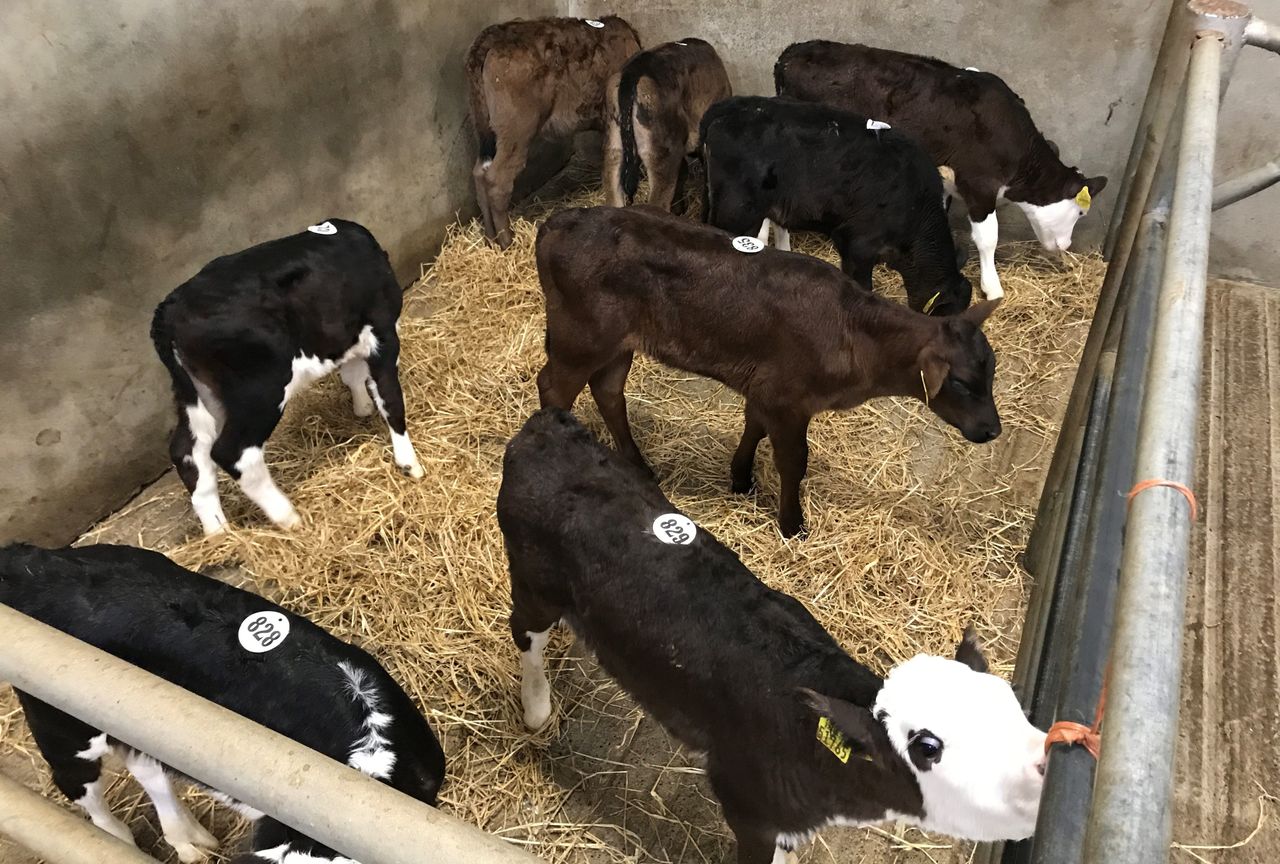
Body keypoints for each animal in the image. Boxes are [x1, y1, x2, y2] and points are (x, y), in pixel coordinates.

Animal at [151, 218, 423, 538]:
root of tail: (169, 308)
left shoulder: (346, 335)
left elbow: (353, 373)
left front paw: (362, 408)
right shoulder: (383, 332)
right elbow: (390, 398)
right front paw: (409, 463)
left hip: (196, 394)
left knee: (188, 451)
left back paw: (219, 531)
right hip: (260, 388)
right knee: (233, 453)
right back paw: (288, 516)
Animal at [466, 15, 642, 248]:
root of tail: (492, 37)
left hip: (486, 130)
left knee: (479, 173)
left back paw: (490, 238)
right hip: (516, 132)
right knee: (497, 180)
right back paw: (507, 241)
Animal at [497, 408, 1046, 864]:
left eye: (1010, 706)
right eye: (927, 748)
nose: (1047, 766)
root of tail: (546, 426)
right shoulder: (749, 809)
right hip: (534, 582)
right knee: (524, 634)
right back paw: (537, 707)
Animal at [535, 205, 1001, 537]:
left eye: (991, 371)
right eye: (960, 382)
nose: (993, 429)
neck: (855, 333)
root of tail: (559, 221)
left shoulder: (765, 388)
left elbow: (752, 428)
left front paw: (741, 479)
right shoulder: (788, 398)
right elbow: (793, 461)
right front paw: (792, 525)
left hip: (617, 342)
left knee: (609, 391)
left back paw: (640, 468)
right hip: (580, 336)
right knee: (553, 387)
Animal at [775, 41, 1108, 301]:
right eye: (1081, 212)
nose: (1065, 246)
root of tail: (791, 53)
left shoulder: (946, 181)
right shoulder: (980, 186)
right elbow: (988, 238)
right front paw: (993, 288)